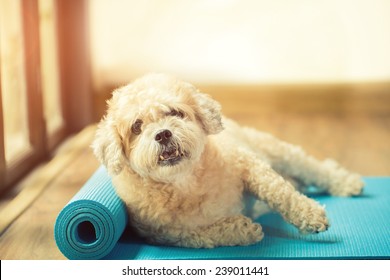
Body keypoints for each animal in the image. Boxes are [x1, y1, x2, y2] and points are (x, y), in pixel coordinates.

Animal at [92, 72, 366, 247]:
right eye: (136, 127)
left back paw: (347, 183)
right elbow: (207, 235)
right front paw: (245, 230)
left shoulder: (249, 166)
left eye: (175, 113)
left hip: (279, 151)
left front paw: (310, 215)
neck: (185, 183)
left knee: (314, 169)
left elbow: (280, 192)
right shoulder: (166, 233)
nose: (163, 134)